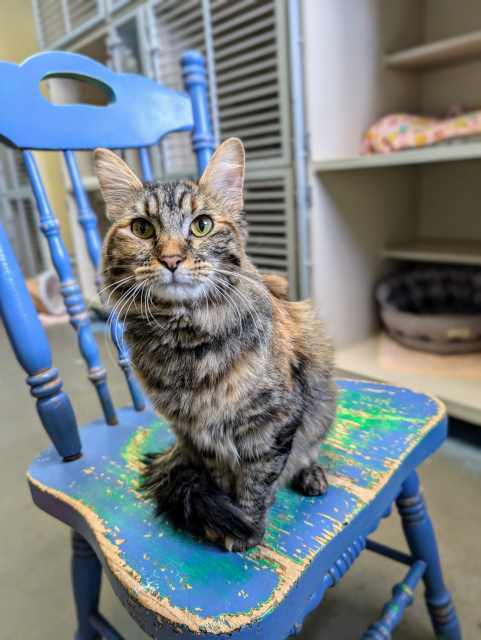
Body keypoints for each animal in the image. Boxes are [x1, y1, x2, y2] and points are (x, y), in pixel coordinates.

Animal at [94, 139, 334, 552]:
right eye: (142, 228)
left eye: (201, 225)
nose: (171, 259)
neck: (187, 344)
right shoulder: (199, 434)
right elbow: (223, 478)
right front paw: (226, 521)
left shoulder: (273, 422)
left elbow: (258, 480)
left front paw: (247, 529)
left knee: (306, 452)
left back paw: (311, 475)